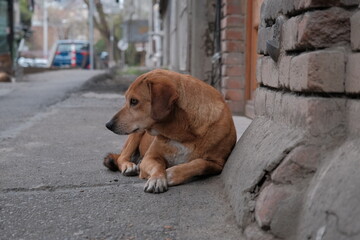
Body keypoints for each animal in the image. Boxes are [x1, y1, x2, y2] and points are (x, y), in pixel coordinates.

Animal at [104, 69, 236, 193]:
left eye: (134, 101)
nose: (108, 125)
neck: (182, 134)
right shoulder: (150, 157)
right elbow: (157, 166)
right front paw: (157, 178)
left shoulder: (218, 163)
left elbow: (200, 164)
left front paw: (171, 173)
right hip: (137, 134)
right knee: (121, 157)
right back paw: (128, 166)